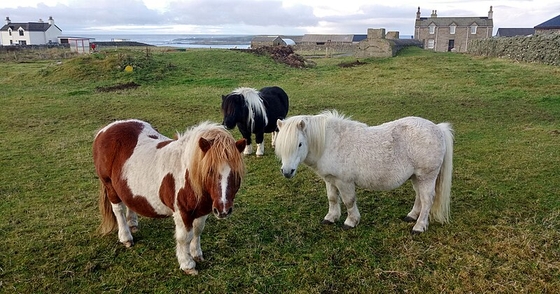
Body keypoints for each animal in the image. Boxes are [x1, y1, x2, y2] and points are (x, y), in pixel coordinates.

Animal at [92, 118, 245, 274]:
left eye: (235, 174)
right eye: (210, 171)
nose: (223, 210)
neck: (188, 173)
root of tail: (105, 130)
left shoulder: (202, 211)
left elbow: (197, 230)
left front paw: (197, 254)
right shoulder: (182, 213)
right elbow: (184, 238)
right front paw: (187, 265)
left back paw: (133, 225)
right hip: (109, 186)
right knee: (118, 211)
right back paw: (126, 237)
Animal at [276, 110, 456, 234]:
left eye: (299, 144)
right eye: (280, 144)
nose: (287, 171)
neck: (331, 143)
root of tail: (438, 128)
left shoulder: (344, 182)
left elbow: (349, 201)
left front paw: (351, 222)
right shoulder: (330, 180)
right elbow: (332, 198)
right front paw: (331, 218)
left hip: (426, 177)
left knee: (427, 200)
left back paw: (419, 226)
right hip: (416, 177)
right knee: (419, 197)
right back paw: (411, 216)